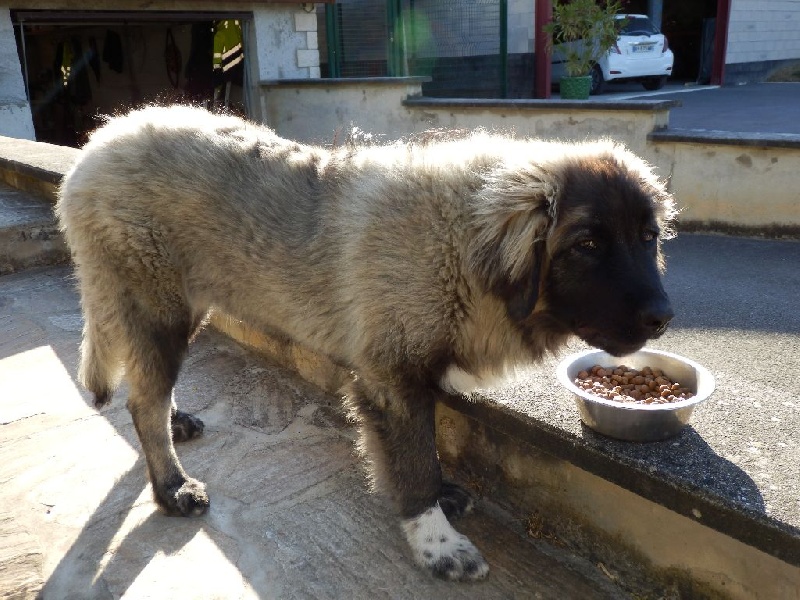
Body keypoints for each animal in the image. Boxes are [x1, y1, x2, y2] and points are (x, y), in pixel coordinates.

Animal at [57, 106, 676, 580]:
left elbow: (427, 447)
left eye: (648, 238)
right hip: (157, 308)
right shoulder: (390, 381)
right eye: (588, 244)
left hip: (186, 306)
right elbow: (415, 462)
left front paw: (443, 500)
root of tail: (98, 144)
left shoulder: (417, 374)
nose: (664, 318)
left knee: (152, 388)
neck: (457, 240)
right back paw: (171, 486)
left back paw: (177, 420)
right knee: (143, 401)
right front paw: (436, 542)